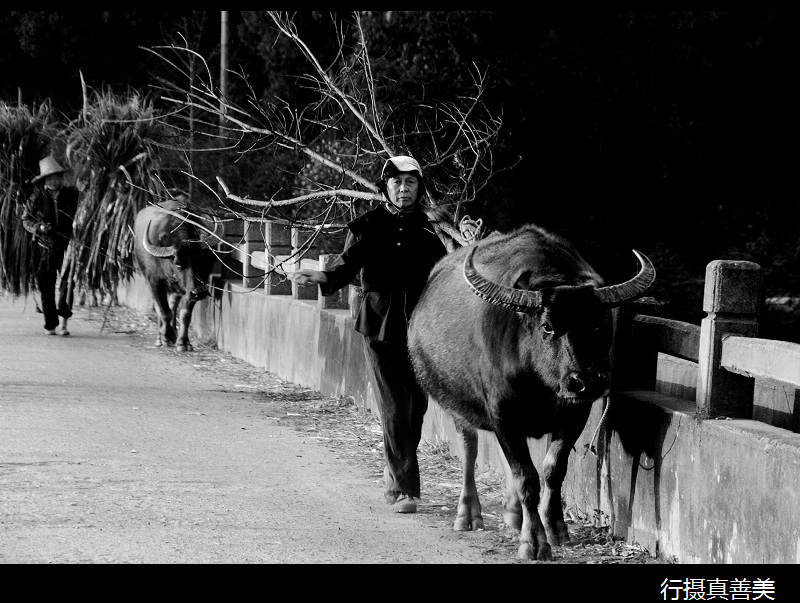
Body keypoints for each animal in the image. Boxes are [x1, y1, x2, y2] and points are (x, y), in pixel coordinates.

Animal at [133, 201, 222, 352]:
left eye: (201, 259)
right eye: (178, 263)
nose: (199, 292)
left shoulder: (191, 288)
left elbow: (185, 314)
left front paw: (183, 342)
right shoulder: (154, 282)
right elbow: (164, 312)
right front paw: (166, 336)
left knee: (173, 304)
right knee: (160, 308)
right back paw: (161, 337)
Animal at [410, 225, 652, 560]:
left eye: (596, 324)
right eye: (547, 326)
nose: (585, 381)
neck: (542, 384)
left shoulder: (575, 414)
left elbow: (553, 470)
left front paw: (555, 528)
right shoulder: (503, 414)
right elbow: (527, 477)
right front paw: (533, 541)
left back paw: (514, 514)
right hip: (456, 405)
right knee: (470, 450)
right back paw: (468, 514)